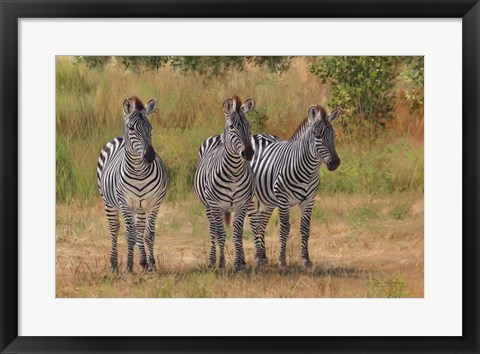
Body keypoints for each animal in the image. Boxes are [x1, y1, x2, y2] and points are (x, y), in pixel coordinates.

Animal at [96, 95, 168, 272]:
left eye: (150, 128)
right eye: (131, 128)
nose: (149, 156)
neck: (139, 172)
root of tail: (119, 138)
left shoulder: (154, 203)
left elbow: (148, 234)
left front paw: (151, 264)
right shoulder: (125, 203)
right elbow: (130, 235)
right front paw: (129, 266)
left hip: (140, 207)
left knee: (140, 229)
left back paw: (142, 261)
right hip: (109, 202)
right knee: (115, 229)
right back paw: (114, 264)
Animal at [194, 95, 256, 270]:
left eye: (249, 125)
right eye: (232, 127)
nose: (248, 153)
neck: (234, 172)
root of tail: (218, 137)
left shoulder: (242, 205)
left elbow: (237, 234)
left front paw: (239, 263)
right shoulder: (216, 205)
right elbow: (220, 234)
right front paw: (221, 263)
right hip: (208, 206)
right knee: (213, 230)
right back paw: (211, 261)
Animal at [248, 105, 342, 268]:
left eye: (334, 136)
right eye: (318, 137)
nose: (335, 163)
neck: (308, 171)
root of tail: (258, 135)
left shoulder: (309, 200)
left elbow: (305, 229)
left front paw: (306, 260)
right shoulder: (283, 199)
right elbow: (285, 228)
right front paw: (282, 260)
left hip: (268, 200)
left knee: (261, 222)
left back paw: (263, 257)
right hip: (254, 197)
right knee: (254, 223)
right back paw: (257, 258)